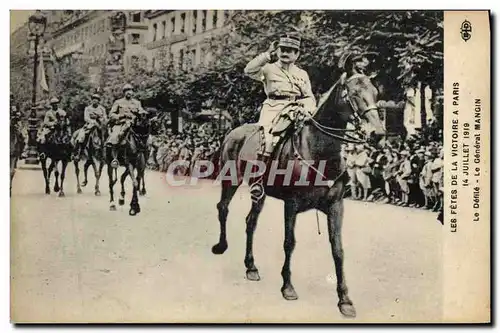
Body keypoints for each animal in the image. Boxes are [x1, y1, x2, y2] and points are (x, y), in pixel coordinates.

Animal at [213, 72, 384, 316]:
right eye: (353, 94)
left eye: (375, 92)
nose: (377, 133)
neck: (318, 150)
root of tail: (233, 131)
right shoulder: (291, 205)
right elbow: (289, 243)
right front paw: (287, 287)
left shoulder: (336, 206)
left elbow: (338, 249)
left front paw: (344, 300)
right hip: (231, 179)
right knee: (223, 208)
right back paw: (221, 246)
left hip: (259, 193)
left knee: (250, 222)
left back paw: (251, 266)